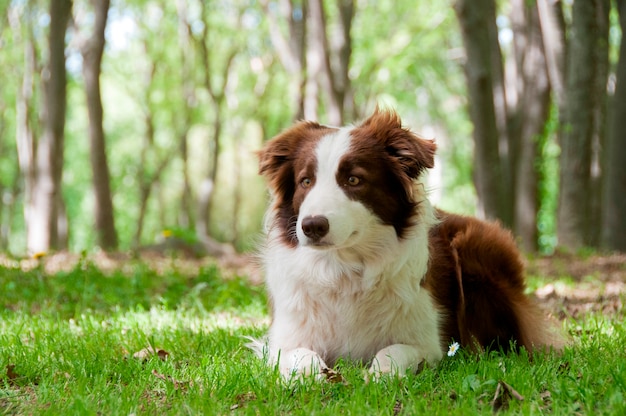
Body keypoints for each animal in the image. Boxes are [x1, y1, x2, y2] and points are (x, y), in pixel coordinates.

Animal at [249, 109, 560, 378]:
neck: (344, 268)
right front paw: (312, 376)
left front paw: (377, 375)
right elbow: (299, 356)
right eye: (305, 181)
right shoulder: (284, 340)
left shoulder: (430, 343)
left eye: (354, 179)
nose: (312, 226)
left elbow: (394, 351)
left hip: (474, 249)